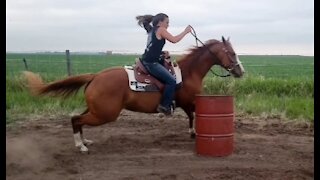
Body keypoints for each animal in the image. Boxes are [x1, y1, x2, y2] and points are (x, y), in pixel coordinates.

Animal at [23, 36, 245, 152]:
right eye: (232, 53)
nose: (241, 71)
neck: (189, 72)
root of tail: (95, 76)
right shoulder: (189, 101)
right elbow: (194, 115)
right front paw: (194, 133)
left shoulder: (187, 103)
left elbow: (191, 116)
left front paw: (192, 132)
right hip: (105, 113)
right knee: (77, 119)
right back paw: (81, 146)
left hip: (96, 109)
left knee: (76, 118)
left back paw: (84, 141)